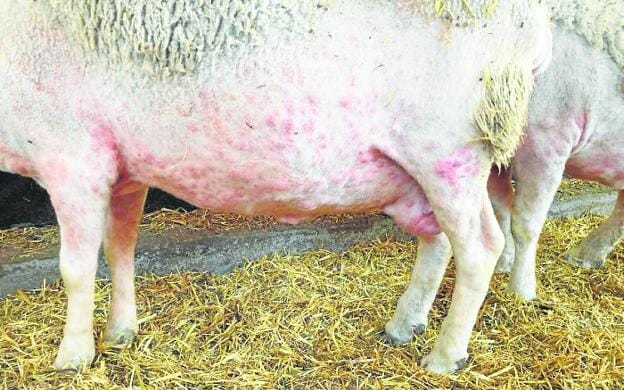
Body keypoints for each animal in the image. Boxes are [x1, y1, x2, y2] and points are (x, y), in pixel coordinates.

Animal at [0, 0, 548, 372]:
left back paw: (445, 356)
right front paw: (120, 333)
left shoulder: (72, 158)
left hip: (451, 152)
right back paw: (403, 325)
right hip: (423, 170)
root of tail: (533, 30)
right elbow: (120, 251)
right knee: (437, 241)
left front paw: (73, 355)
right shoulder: (127, 170)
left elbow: (74, 269)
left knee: (480, 247)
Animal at [490, 0, 620, 300]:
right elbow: (501, 207)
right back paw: (586, 254)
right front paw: (503, 262)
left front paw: (521, 291)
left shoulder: (546, 145)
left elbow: (525, 223)